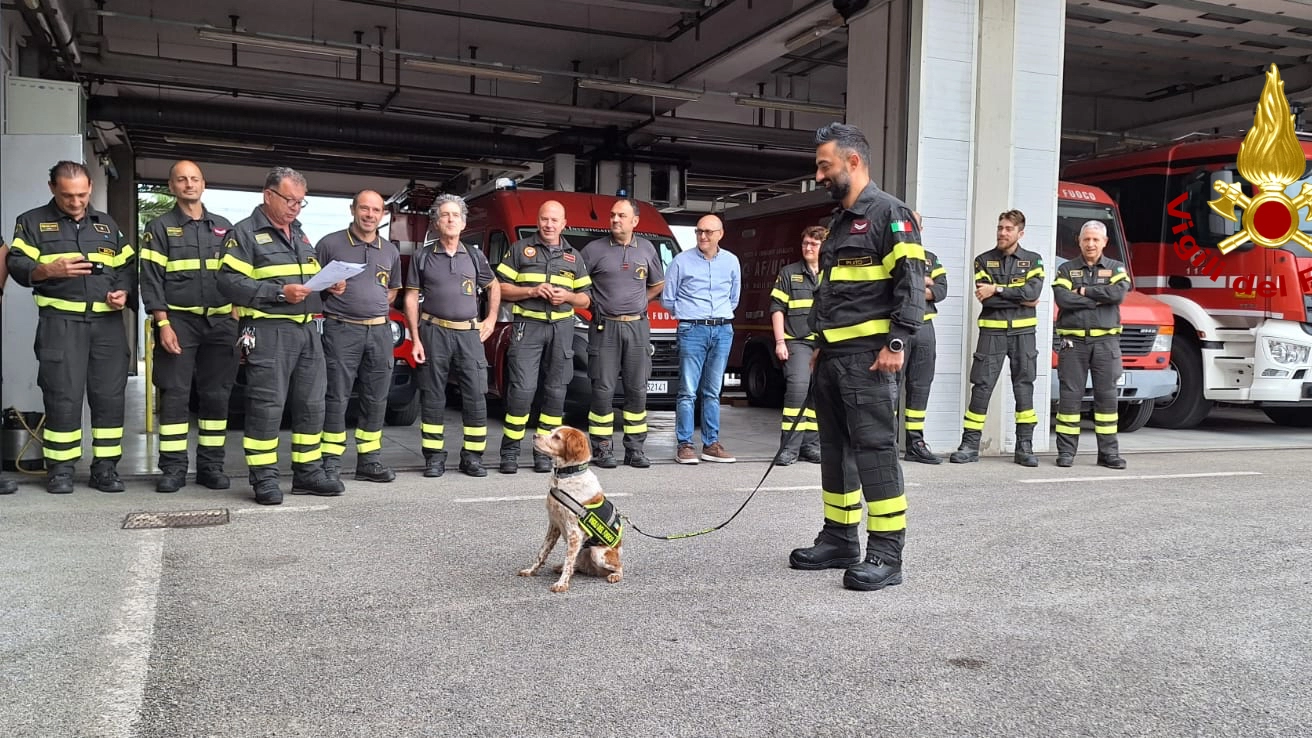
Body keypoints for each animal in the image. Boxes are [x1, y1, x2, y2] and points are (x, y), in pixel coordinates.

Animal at [516, 425, 624, 590]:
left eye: (557, 437)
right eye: (551, 432)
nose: (534, 435)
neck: (567, 476)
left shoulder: (574, 532)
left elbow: (568, 561)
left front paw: (561, 584)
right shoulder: (554, 525)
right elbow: (542, 552)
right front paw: (530, 571)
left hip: (597, 553)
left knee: (619, 566)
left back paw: (614, 575)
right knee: (575, 564)